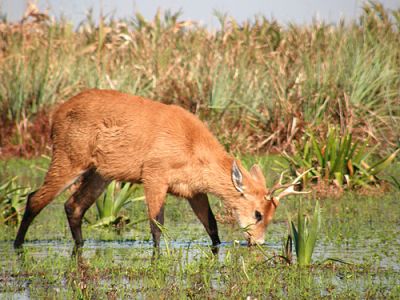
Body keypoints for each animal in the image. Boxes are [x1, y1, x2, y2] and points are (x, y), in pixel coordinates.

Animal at [14, 89, 304, 251]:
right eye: (257, 213)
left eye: (271, 215)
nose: (258, 242)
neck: (192, 147)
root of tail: (56, 115)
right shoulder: (154, 176)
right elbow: (156, 225)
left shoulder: (193, 191)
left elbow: (211, 225)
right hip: (68, 159)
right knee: (35, 199)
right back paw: (17, 246)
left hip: (100, 173)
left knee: (73, 206)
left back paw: (80, 244)